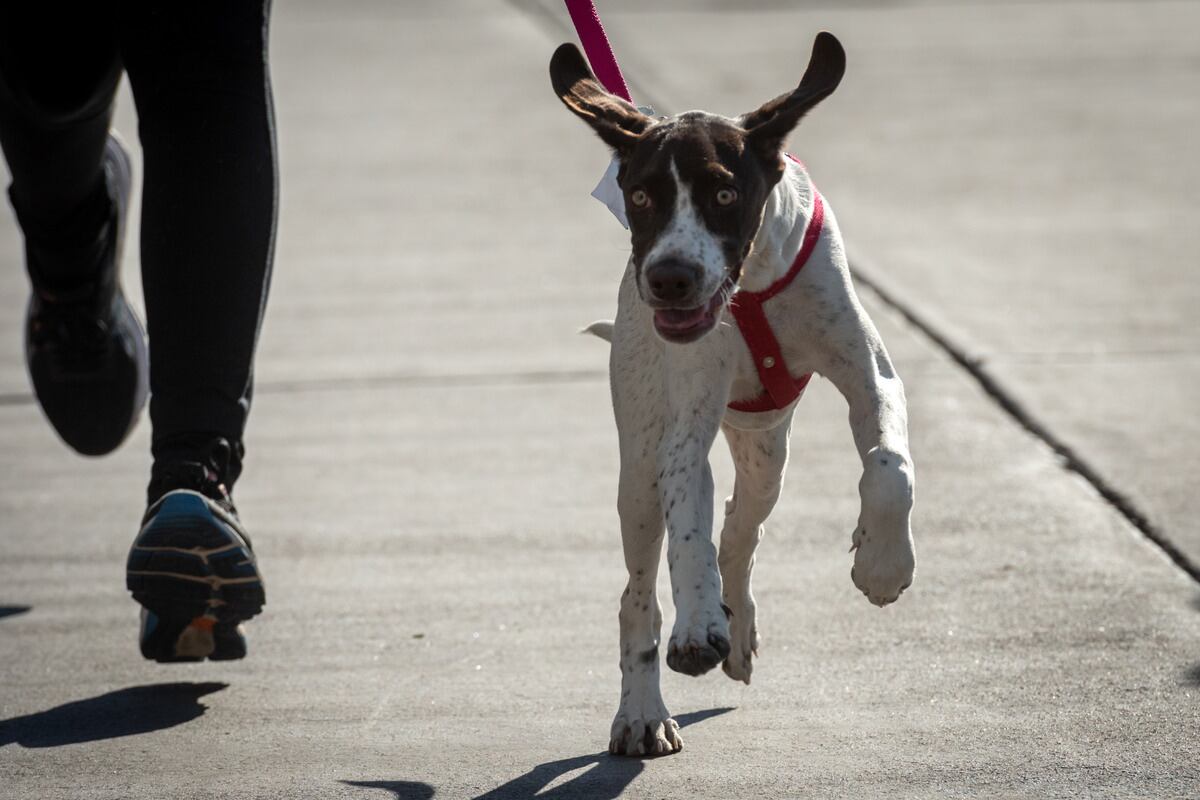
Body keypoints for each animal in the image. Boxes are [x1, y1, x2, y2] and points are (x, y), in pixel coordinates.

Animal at [552, 31, 916, 758]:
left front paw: (883, 564)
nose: (668, 279)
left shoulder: (871, 375)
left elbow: (889, 467)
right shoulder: (682, 432)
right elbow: (688, 537)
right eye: (640, 197)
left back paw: (738, 628)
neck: (750, 284)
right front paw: (697, 628)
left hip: (767, 452)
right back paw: (644, 710)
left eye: (723, 194)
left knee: (741, 530)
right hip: (639, 472)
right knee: (640, 593)